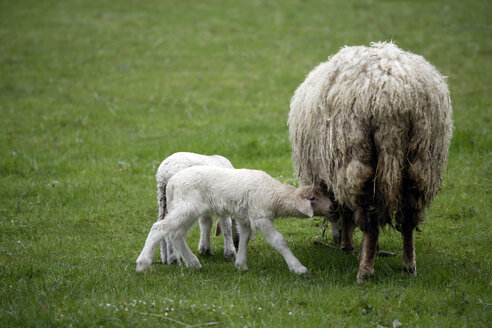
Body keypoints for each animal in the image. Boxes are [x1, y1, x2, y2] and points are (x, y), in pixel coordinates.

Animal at [135, 167, 334, 274]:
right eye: (313, 198)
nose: (333, 207)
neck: (274, 194)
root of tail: (170, 184)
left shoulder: (244, 217)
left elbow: (245, 237)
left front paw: (241, 264)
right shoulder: (260, 217)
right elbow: (279, 240)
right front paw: (298, 268)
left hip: (186, 209)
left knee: (176, 233)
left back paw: (193, 262)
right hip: (187, 206)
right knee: (160, 228)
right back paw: (143, 263)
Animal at [288, 41, 454, 284]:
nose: (336, 238)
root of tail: (394, 97)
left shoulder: (339, 175)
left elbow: (345, 212)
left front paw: (346, 244)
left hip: (360, 159)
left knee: (372, 219)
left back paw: (365, 271)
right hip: (423, 158)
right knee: (408, 218)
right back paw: (408, 266)